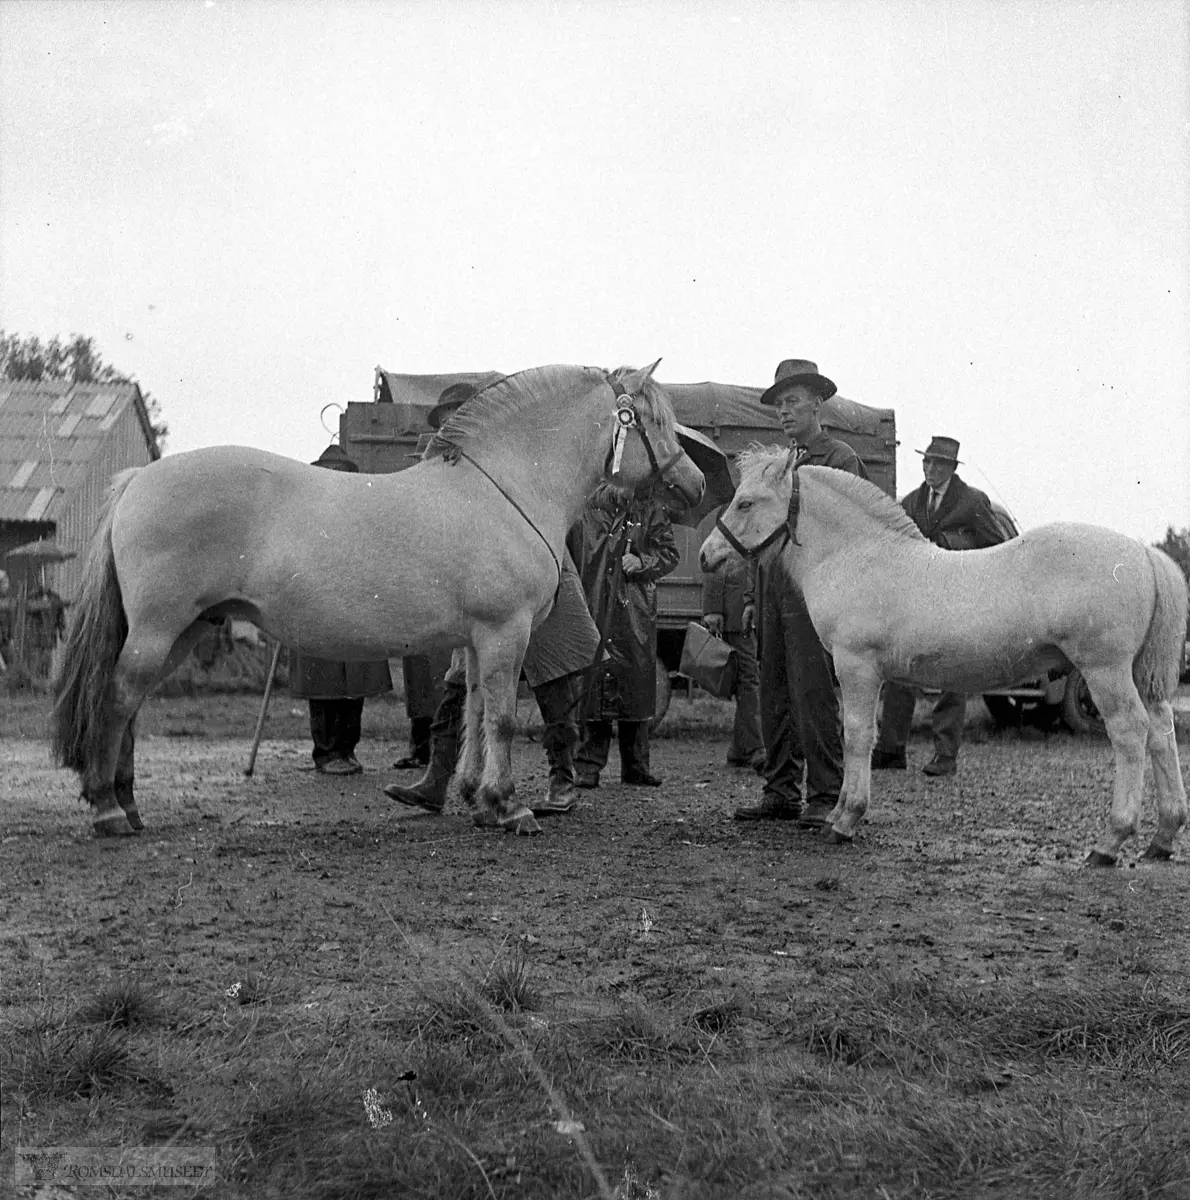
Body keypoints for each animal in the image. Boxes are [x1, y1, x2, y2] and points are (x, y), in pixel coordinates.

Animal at [55, 360, 700, 840]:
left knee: (130, 704)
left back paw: (127, 804)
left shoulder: (474, 641)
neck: (503, 490)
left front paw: (477, 799)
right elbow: (503, 717)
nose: (693, 485)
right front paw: (509, 806)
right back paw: (109, 810)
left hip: (183, 630)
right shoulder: (504, 632)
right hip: (161, 628)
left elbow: (471, 713)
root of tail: (137, 480)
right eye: (652, 420)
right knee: (118, 698)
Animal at [700, 448, 1185, 864]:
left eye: (745, 503)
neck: (857, 557)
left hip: (1104, 671)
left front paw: (844, 819)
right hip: (1140, 675)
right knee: (1162, 731)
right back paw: (1163, 837)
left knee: (1131, 733)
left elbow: (856, 736)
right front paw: (839, 813)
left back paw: (1110, 842)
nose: (707, 556)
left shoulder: (857, 666)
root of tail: (1143, 552)